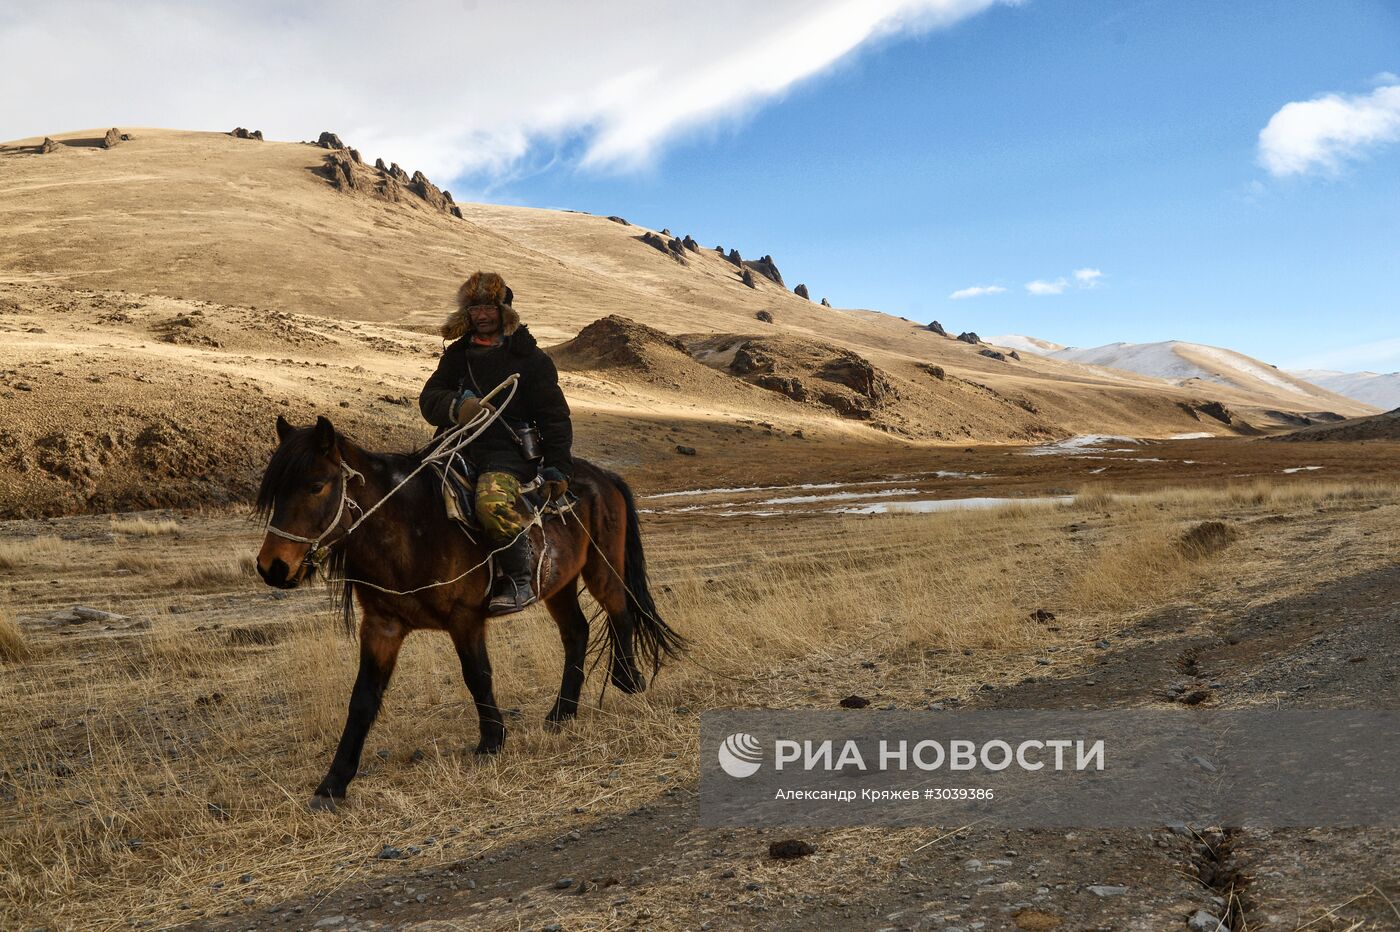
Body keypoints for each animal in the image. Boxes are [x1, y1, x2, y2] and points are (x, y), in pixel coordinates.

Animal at [257, 414, 688, 806]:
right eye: (275, 492)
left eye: (316, 486)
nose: (272, 567)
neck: (410, 529)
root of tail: (604, 477)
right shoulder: (382, 626)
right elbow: (363, 698)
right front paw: (333, 783)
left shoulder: (464, 618)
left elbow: (477, 676)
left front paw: (491, 740)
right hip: (559, 584)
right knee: (576, 632)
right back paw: (562, 713)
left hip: (602, 565)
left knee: (619, 610)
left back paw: (628, 680)